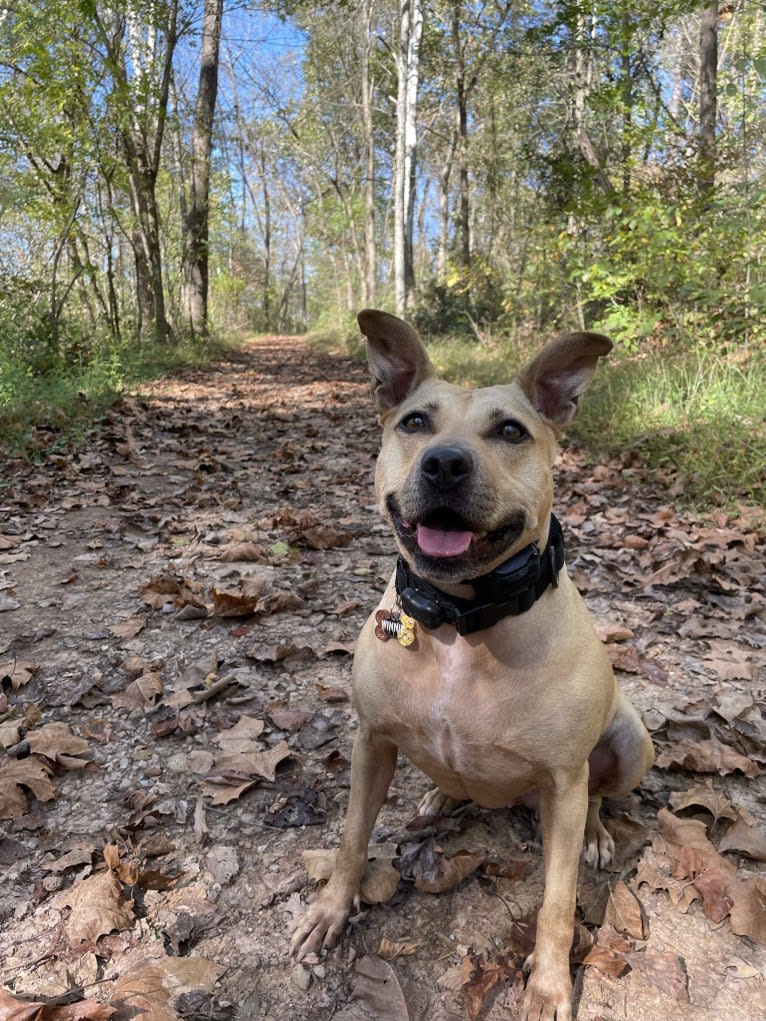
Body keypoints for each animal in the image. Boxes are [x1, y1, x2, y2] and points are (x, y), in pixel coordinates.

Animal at [290, 310, 657, 1021]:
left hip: (631, 744)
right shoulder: (371, 743)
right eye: (414, 422)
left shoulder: (563, 782)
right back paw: (440, 791)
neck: (460, 620)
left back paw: (598, 833)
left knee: (600, 792)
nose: (445, 463)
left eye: (510, 430)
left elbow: (557, 903)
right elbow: (350, 840)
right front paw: (330, 910)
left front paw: (549, 985)